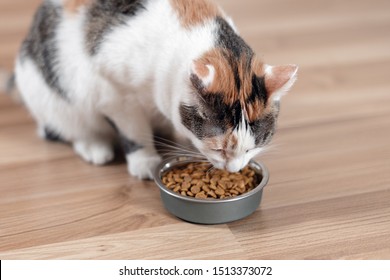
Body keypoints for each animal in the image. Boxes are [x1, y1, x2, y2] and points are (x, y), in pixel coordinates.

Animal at [13, 0, 298, 179]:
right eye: (218, 149)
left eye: (252, 149)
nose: (234, 170)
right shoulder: (115, 94)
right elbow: (134, 132)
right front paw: (145, 162)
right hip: (53, 95)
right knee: (70, 127)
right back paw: (95, 147)